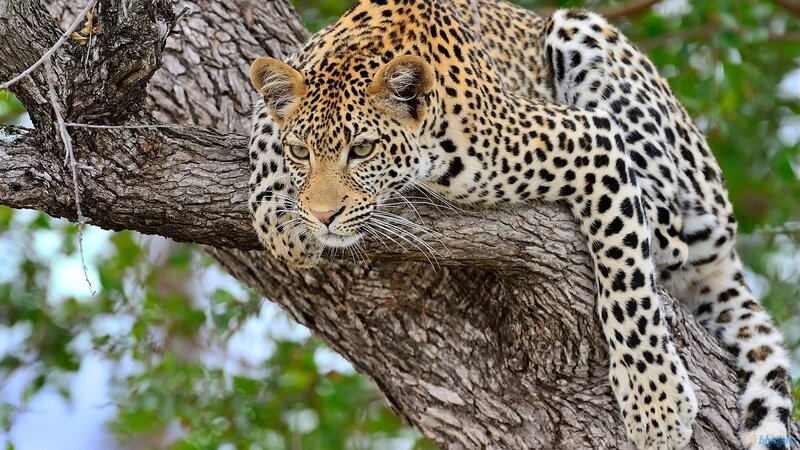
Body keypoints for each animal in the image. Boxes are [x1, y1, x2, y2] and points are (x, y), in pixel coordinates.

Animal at [246, 0, 795, 448]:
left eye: (361, 149)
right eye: (301, 152)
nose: (323, 216)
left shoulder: (591, 139)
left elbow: (628, 288)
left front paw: (655, 403)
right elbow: (261, 130)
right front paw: (279, 217)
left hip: (587, 38)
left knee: (670, 228)